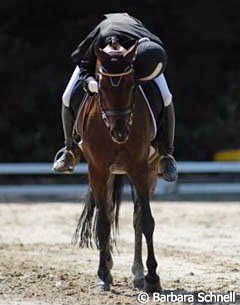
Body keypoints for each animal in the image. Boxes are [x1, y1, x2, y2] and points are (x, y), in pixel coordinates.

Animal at [72, 41, 164, 292]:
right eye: (101, 87)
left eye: (132, 86)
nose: (120, 132)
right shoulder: (98, 170)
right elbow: (103, 223)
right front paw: (103, 275)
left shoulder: (140, 169)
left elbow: (146, 221)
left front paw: (153, 277)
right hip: (107, 175)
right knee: (107, 211)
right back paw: (108, 267)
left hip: (147, 172)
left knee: (136, 217)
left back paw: (138, 273)